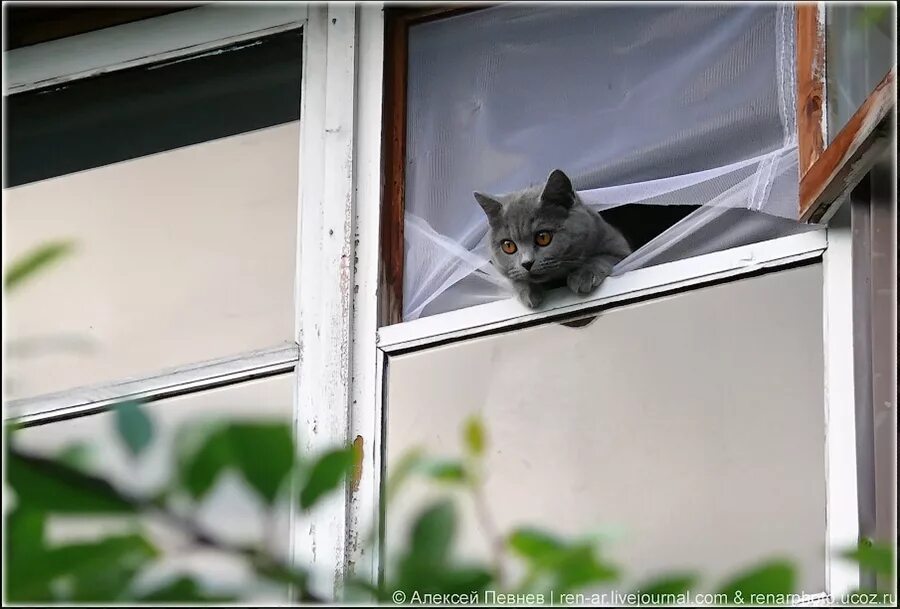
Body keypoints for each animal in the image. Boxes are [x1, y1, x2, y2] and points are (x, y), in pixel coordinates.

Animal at [474, 169, 628, 306]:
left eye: (543, 237)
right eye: (508, 246)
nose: (527, 263)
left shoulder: (619, 247)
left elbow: (600, 258)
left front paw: (582, 276)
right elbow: (515, 278)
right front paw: (529, 293)